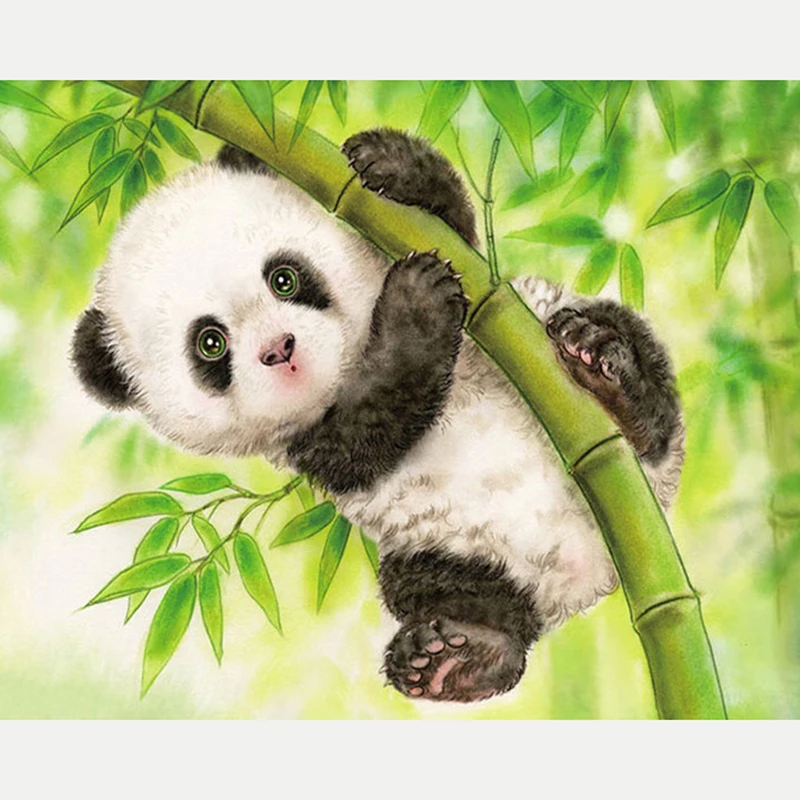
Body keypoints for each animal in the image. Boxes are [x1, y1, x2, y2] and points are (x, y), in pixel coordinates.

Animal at [71, 128, 684, 703]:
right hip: (449, 550)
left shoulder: (487, 310)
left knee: (646, 384)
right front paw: (419, 302)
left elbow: (462, 243)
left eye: (285, 278)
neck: (348, 359)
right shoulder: (308, 444)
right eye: (211, 343)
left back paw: (607, 372)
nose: (280, 349)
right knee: (450, 591)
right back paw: (459, 657)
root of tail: (595, 573)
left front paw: (388, 161)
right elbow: (364, 437)